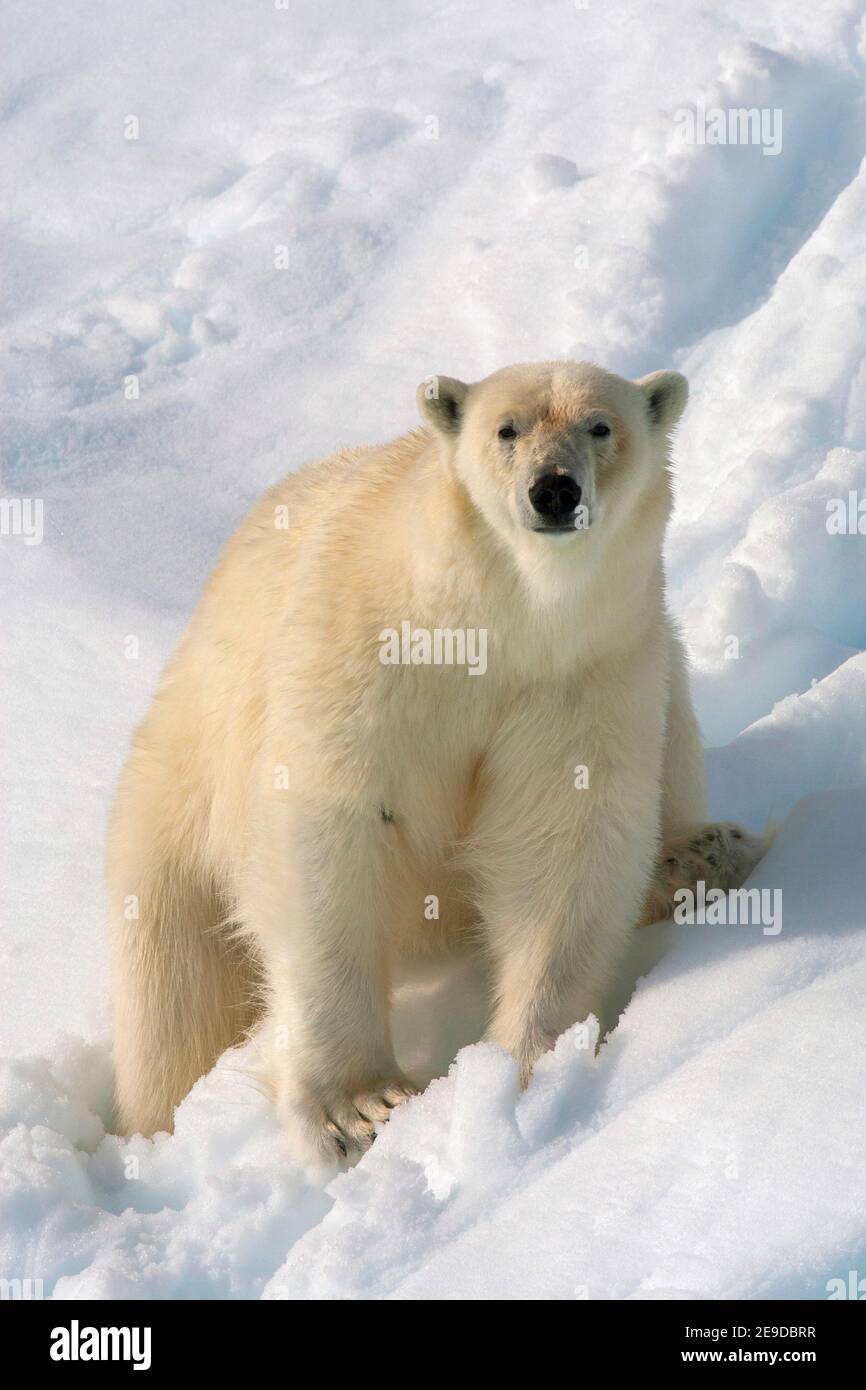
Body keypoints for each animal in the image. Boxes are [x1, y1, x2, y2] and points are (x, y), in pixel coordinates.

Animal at [107, 361, 767, 1162]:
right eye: (506, 429)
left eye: (601, 426)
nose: (554, 489)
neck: (489, 618)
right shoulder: (368, 653)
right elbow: (330, 832)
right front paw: (357, 1109)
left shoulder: (580, 670)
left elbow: (562, 837)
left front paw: (523, 1064)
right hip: (177, 789)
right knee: (173, 995)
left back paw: (701, 855)